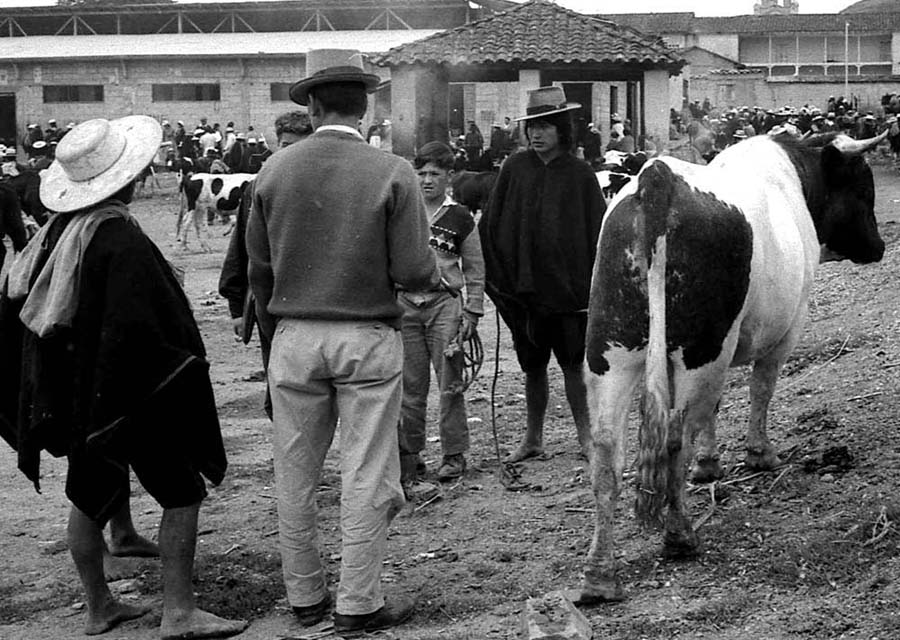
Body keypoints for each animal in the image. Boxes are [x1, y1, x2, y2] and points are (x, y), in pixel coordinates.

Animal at [576, 131, 884, 604]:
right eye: (864, 189)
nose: (879, 246)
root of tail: (658, 177)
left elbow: (715, 410)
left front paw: (709, 463)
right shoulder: (786, 331)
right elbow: (761, 390)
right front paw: (758, 454)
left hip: (612, 351)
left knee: (608, 451)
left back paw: (599, 574)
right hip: (703, 350)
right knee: (673, 439)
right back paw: (680, 536)